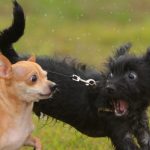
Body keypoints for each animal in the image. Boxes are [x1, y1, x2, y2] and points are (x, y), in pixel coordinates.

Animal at [0, 1, 149, 150]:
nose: (109, 88)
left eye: (131, 76)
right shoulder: (120, 134)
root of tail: (15, 59)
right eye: (111, 74)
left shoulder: (142, 129)